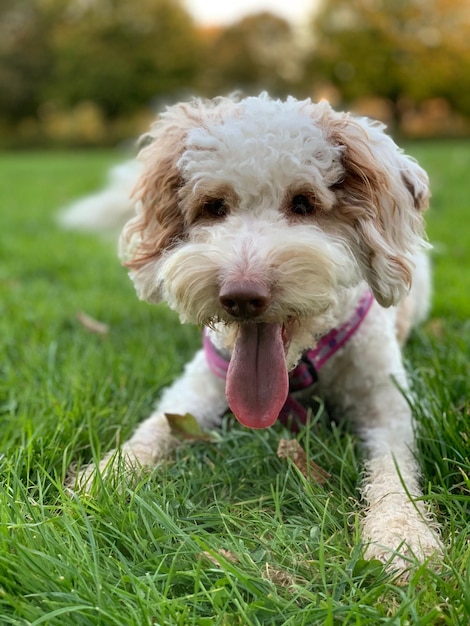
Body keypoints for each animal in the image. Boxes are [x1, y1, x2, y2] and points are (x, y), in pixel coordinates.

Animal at [68, 94, 442, 572]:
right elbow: (155, 428)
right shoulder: (199, 383)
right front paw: (105, 475)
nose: (242, 296)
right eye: (214, 206)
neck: (301, 367)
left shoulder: (388, 403)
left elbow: (394, 468)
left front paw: (403, 537)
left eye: (303, 203)